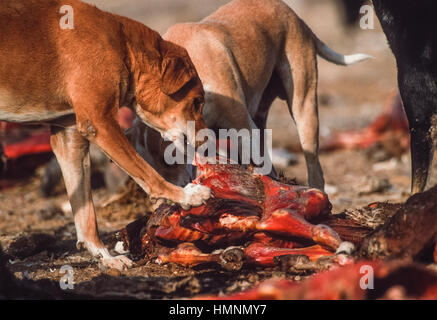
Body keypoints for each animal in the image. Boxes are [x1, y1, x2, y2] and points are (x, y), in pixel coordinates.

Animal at [0, 0, 211, 270]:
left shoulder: (68, 136)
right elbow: (148, 174)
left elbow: (86, 210)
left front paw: (105, 256)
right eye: (196, 102)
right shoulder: (100, 122)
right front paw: (186, 195)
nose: (207, 140)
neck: (123, 46)